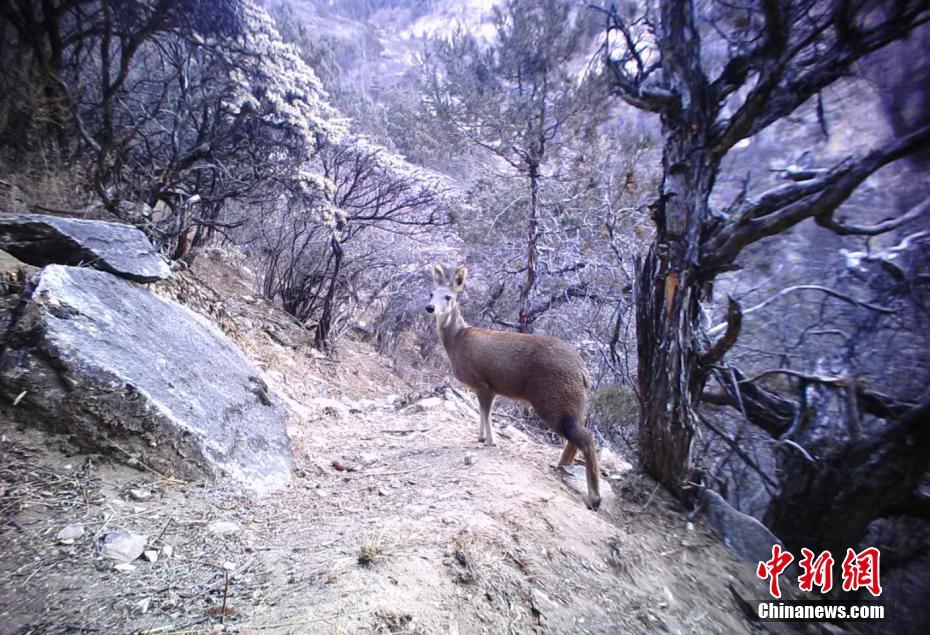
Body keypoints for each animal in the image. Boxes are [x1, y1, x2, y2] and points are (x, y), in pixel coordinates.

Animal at [428, 264, 600, 512]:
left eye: (448, 297)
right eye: (431, 293)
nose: (429, 307)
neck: (457, 341)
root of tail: (583, 372)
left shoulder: (484, 383)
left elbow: (486, 413)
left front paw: (490, 441)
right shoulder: (488, 387)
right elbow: (482, 413)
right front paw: (480, 437)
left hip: (552, 401)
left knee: (586, 437)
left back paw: (594, 498)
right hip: (573, 406)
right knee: (578, 436)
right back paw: (561, 465)